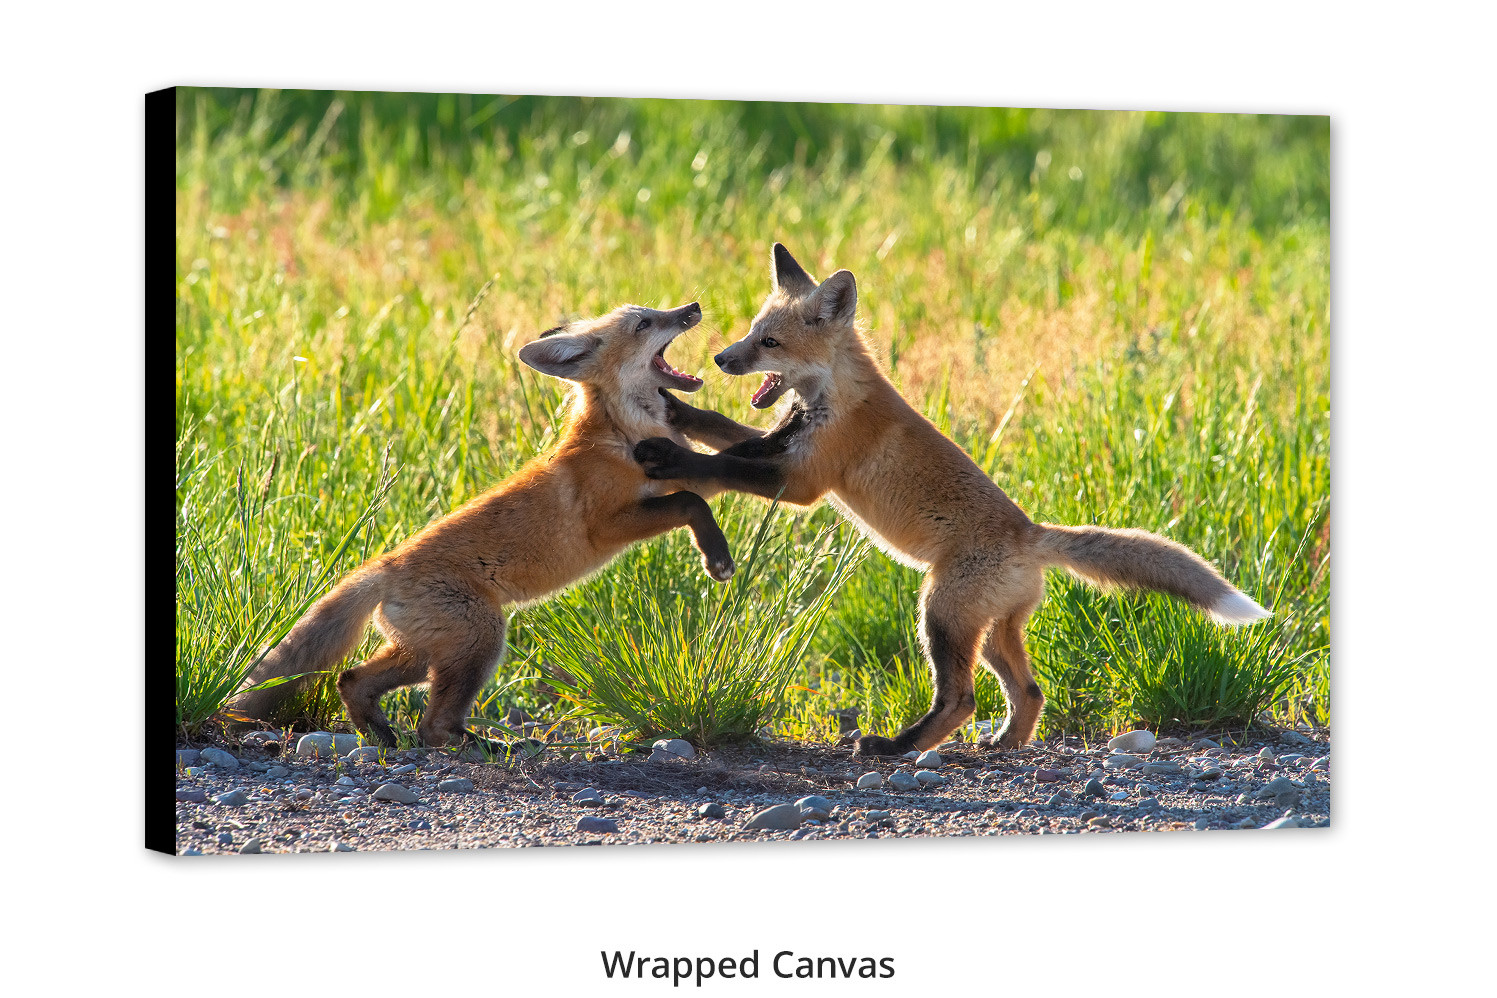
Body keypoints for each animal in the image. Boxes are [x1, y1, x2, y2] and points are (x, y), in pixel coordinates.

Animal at [227, 301, 734, 748]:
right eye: (644, 323)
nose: (693, 307)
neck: (622, 434)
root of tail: (385, 566)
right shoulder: (608, 524)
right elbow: (690, 503)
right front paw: (718, 557)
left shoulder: (685, 471)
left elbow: (709, 478)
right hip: (480, 641)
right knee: (431, 726)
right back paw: (480, 746)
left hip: (424, 654)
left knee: (353, 679)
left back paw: (382, 734)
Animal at [633, 244, 1271, 756]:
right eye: (749, 330)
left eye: (768, 341)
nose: (721, 358)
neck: (831, 398)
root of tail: (1030, 535)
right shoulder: (782, 442)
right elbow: (721, 431)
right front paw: (677, 411)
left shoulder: (805, 478)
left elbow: (723, 463)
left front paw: (670, 457)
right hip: (990, 631)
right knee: (1029, 690)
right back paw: (1005, 745)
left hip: (939, 613)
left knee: (962, 700)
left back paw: (896, 747)